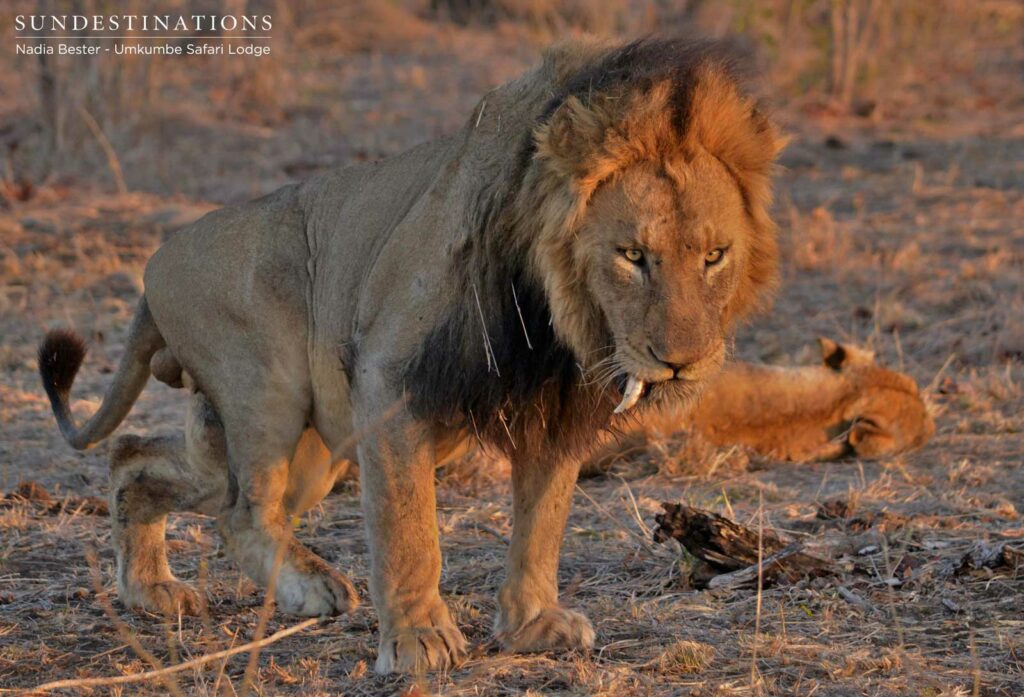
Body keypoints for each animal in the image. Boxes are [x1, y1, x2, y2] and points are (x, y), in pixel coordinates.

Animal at [38, 37, 783, 674]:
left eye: (714, 256)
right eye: (632, 256)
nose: (682, 361)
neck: (556, 321)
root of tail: (152, 268)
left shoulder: (554, 409)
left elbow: (543, 522)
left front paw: (532, 625)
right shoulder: (387, 378)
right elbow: (408, 525)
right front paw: (421, 639)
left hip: (307, 453)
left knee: (140, 459)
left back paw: (151, 590)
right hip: (266, 389)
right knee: (244, 509)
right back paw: (310, 588)